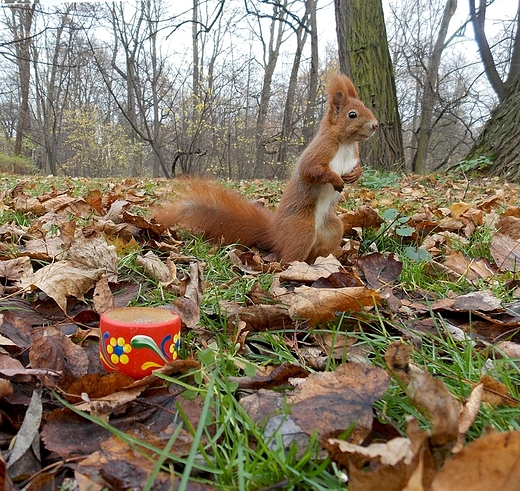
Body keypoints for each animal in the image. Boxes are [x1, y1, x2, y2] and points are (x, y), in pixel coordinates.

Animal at [154, 73, 378, 264]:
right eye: (352, 114)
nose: (376, 125)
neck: (346, 144)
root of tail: (276, 233)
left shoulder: (353, 156)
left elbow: (357, 169)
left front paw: (354, 175)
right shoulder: (319, 151)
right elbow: (312, 170)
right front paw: (335, 179)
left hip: (333, 229)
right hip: (302, 231)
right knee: (290, 256)